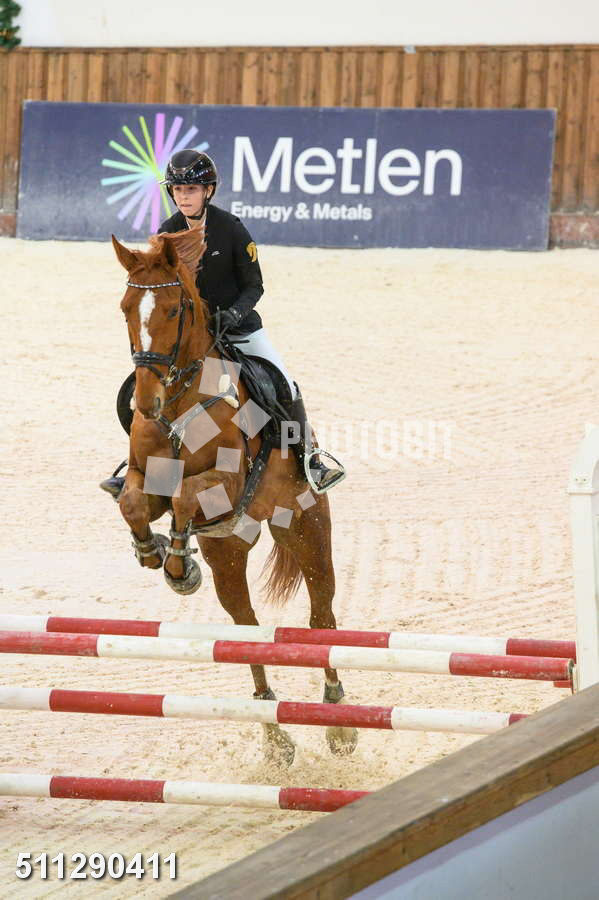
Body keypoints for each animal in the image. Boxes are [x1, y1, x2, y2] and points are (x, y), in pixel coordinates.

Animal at [110, 226, 357, 763]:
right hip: (229, 552)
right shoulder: (147, 479)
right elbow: (133, 502)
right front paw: (154, 552)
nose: (146, 402)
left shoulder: (227, 485)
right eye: (125, 308)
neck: (179, 403)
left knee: (321, 616)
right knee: (245, 627)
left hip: (306, 529)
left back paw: (338, 720)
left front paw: (177, 566)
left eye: (174, 311)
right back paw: (274, 732)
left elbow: (187, 499)